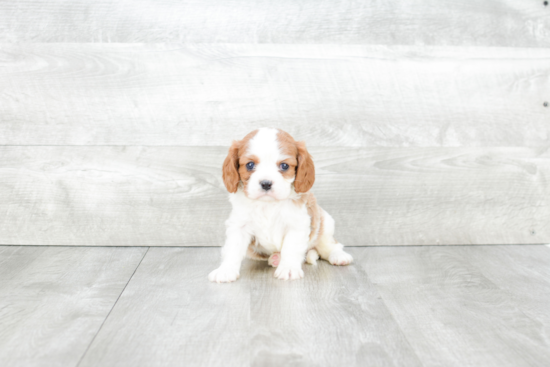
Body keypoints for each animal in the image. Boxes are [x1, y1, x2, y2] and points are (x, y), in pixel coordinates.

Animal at [207, 128, 354, 284]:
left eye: (284, 166)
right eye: (250, 165)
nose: (266, 183)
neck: (268, 204)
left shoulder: (297, 225)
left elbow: (291, 248)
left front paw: (288, 269)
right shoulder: (239, 226)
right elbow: (233, 249)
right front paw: (225, 270)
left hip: (325, 224)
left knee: (330, 245)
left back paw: (339, 256)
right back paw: (276, 258)